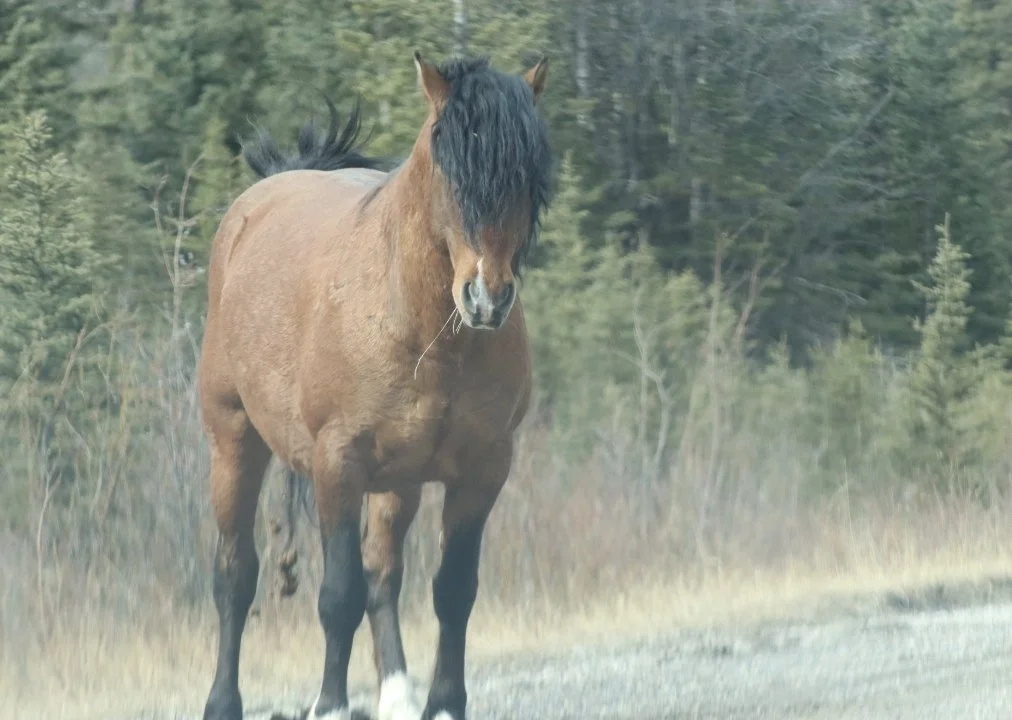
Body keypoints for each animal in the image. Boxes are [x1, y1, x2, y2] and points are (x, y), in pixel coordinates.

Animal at [197, 51, 552, 720]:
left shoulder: (483, 470)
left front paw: (445, 704)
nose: (487, 298)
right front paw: (331, 705)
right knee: (235, 575)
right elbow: (339, 596)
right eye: (447, 162)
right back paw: (223, 702)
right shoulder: (338, 464)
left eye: (529, 174)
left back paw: (397, 696)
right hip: (234, 442)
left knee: (384, 573)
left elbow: (453, 591)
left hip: (400, 483)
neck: (421, 328)